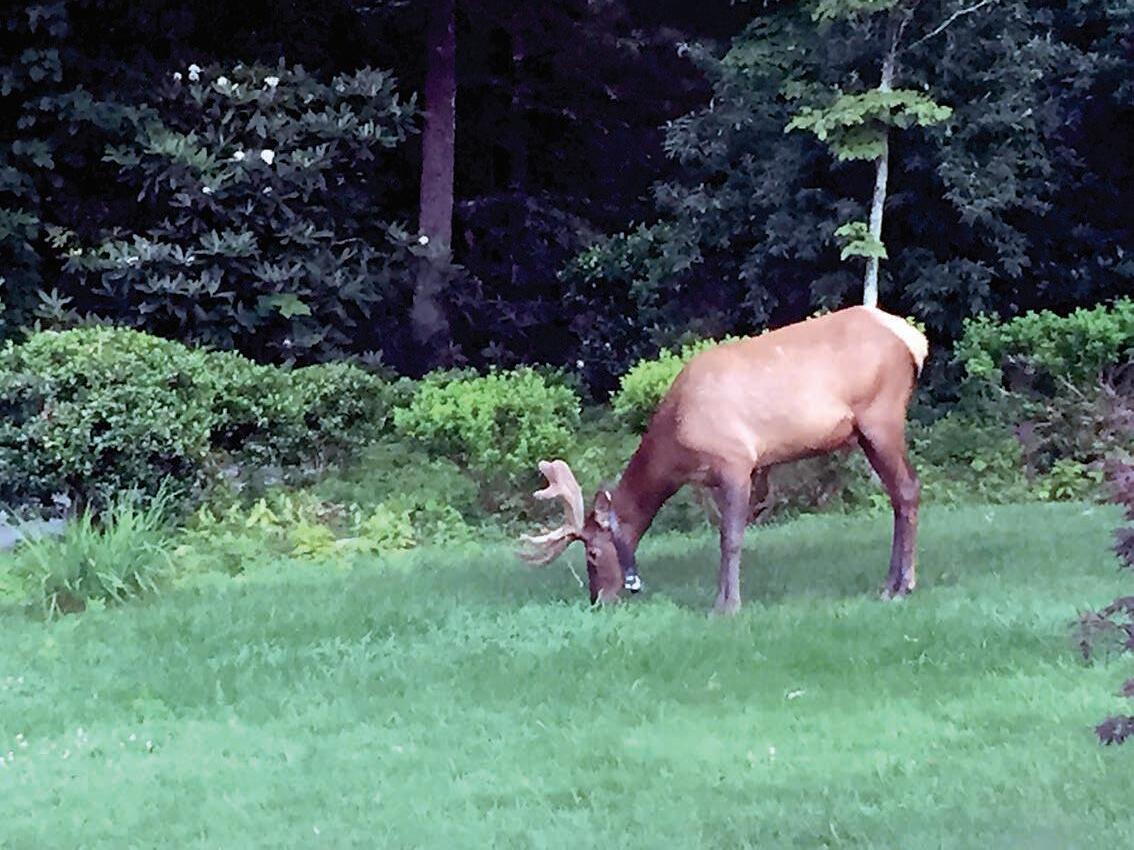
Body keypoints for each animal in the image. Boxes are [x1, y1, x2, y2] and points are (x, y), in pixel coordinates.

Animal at [518, 305, 929, 613]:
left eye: (591, 552)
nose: (597, 600)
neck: (676, 448)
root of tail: (914, 340)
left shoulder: (735, 461)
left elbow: (730, 538)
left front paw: (726, 606)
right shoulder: (718, 478)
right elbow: (727, 533)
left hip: (881, 416)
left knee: (908, 488)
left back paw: (901, 587)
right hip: (867, 431)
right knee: (898, 495)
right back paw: (889, 584)